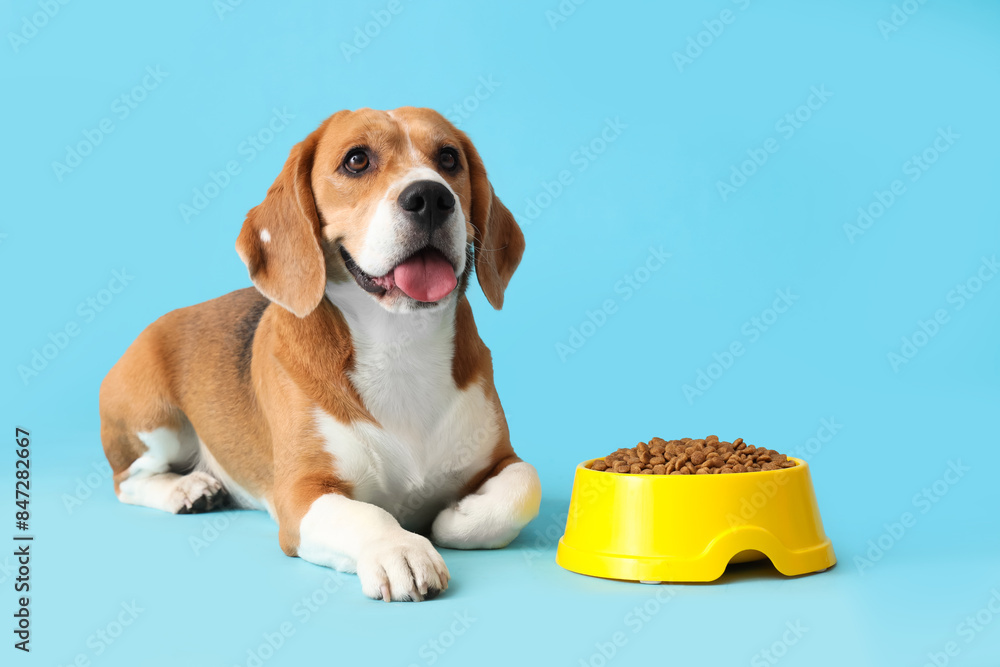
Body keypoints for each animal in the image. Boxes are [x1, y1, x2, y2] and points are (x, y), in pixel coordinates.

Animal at [97, 107, 544, 604]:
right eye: (356, 160)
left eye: (449, 158)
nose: (431, 197)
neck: (398, 345)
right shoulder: (302, 495)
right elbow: (367, 514)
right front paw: (401, 549)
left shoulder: (502, 458)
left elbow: (527, 484)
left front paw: (458, 516)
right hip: (156, 424)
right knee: (128, 480)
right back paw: (188, 488)